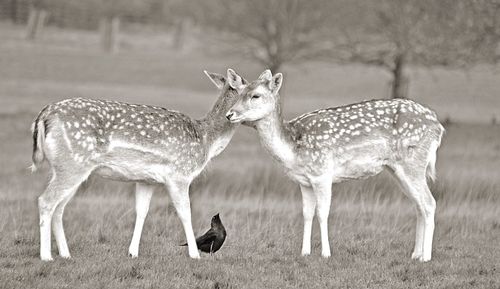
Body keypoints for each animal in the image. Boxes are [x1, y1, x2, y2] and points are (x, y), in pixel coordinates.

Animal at [30, 70, 245, 260]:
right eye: (249, 90)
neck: (206, 140)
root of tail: (44, 115)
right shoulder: (180, 174)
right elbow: (185, 212)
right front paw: (194, 255)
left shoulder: (146, 180)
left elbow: (142, 211)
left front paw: (133, 252)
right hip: (72, 164)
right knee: (46, 201)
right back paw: (46, 256)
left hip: (67, 168)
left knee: (59, 207)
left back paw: (65, 254)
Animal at [227, 68, 446, 260]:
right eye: (237, 93)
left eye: (256, 96)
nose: (230, 114)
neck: (293, 148)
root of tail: (438, 126)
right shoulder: (304, 181)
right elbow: (307, 214)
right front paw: (305, 252)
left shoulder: (322, 173)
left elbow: (322, 213)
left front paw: (325, 254)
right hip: (397, 169)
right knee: (418, 205)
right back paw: (415, 254)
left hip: (413, 162)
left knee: (429, 202)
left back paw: (426, 257)